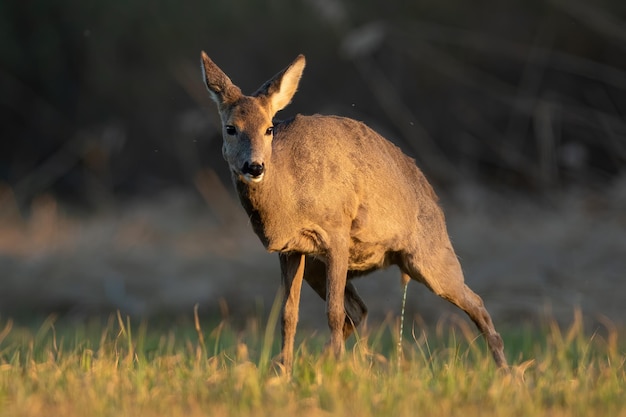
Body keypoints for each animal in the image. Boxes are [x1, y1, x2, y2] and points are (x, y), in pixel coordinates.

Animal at [201, 52, 508, 374]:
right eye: (230, 128)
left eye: (269, 128)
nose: (255, 166)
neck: (289, 196)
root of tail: (431, 193)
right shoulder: (291, 249)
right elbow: (288, 314)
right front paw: (284, 372)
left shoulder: (336, 231)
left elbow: (333, 312)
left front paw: (332, 370)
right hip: (321, 266)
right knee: (359, 309)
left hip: (429, 253)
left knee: (477, 302)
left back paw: (508, 375)